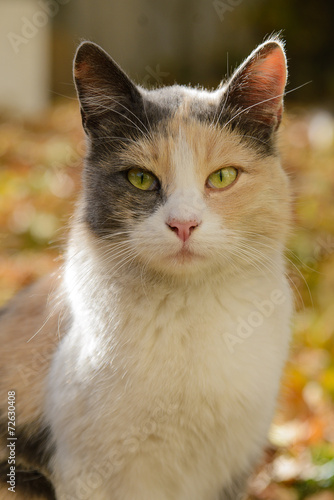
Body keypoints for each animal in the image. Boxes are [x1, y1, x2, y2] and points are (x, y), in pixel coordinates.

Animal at [0, 36, 292, 500]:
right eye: (140, 179)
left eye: (223, 177)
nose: (184, 224)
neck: (187, 317)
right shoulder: (86, 473)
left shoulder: (227, 471)